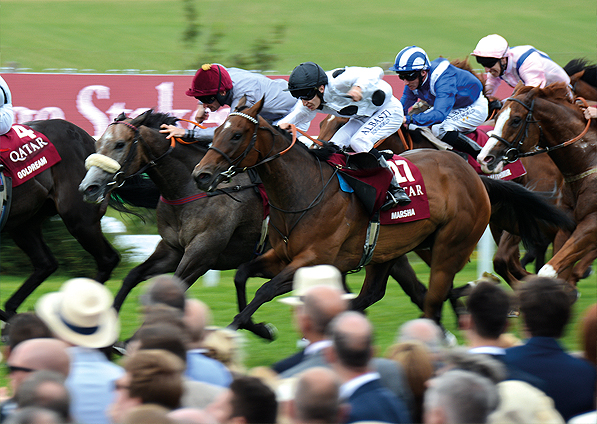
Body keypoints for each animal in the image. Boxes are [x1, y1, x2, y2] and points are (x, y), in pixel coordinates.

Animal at [0, 117, 120, 320]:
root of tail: (90, 140)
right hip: (24, 224)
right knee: (46, 264)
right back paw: (11, 312)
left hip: (80, 219)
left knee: (108, 259)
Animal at [193, 99, 572, 332]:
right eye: (216, 131)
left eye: (236, 134)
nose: (201, 174)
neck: (304, 190)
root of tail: (476, 176)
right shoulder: (283, 255)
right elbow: (242, 275)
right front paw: (258, 327)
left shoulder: (315, 259)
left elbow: (264, 290)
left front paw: (239, 328)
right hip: (389, 250)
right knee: (372, 295)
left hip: (450, 246)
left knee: (434, 295)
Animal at [480, 82, 596, 292]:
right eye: (497, 116)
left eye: (516, 120)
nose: (485, 158)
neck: (588, 160)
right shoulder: (565, 224)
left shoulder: (591, 222)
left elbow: (547, 270)